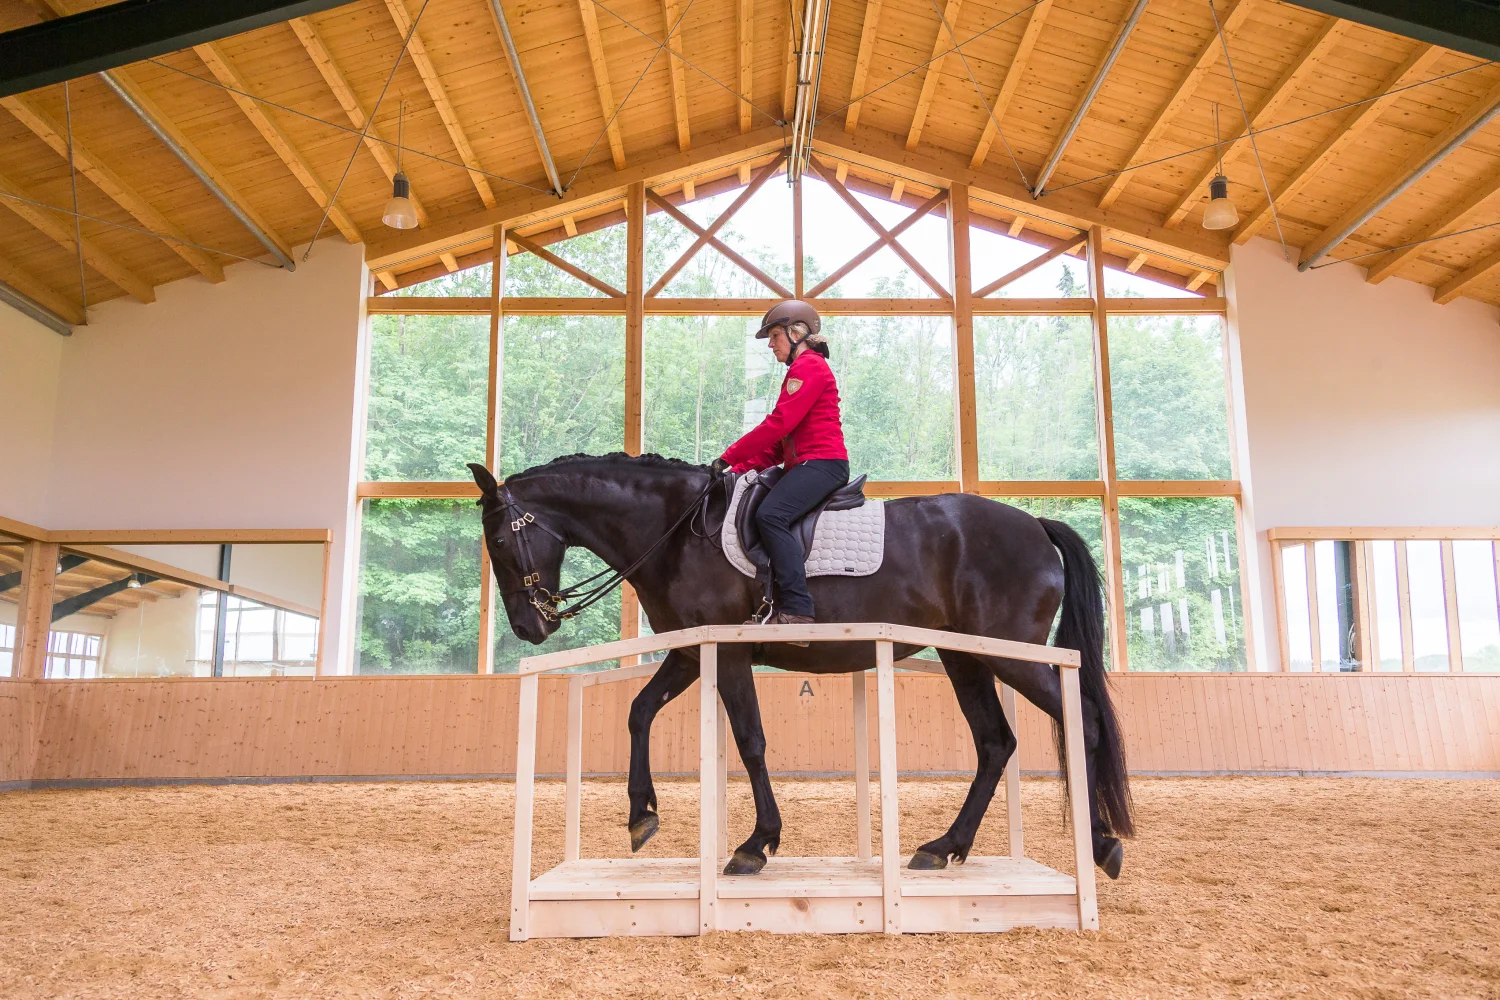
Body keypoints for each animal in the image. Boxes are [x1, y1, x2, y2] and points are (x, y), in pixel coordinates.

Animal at [474, 458, 1128, 881]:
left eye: (501, 542)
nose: (530, 628)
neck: (676, 529)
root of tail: (1035, 526)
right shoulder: (689, 652)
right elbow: (639, 713)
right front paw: (641, 816)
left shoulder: (728, 652)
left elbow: (751, 741)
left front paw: (756, 845)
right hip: (964, 657)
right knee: (996, 743)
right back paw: (945, 847)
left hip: (1007, 654)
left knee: (1084, 722)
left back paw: (1101, 845)